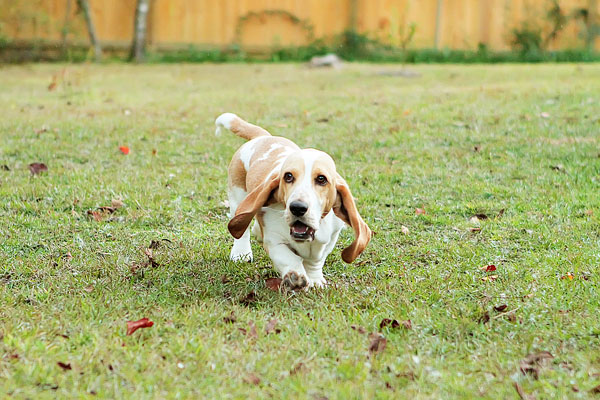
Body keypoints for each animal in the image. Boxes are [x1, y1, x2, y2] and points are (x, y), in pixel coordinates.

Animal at [213, 112, 372, 290]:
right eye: (288, 176)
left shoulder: (329, 239)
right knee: (242, 230)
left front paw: (315, 280)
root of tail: (263, 137)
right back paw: (241, 253)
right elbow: (288, 258)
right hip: (237, 197)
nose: (297, 207)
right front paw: (295, 276)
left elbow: (316, 261)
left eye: (322, 179)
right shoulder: (274, 241)